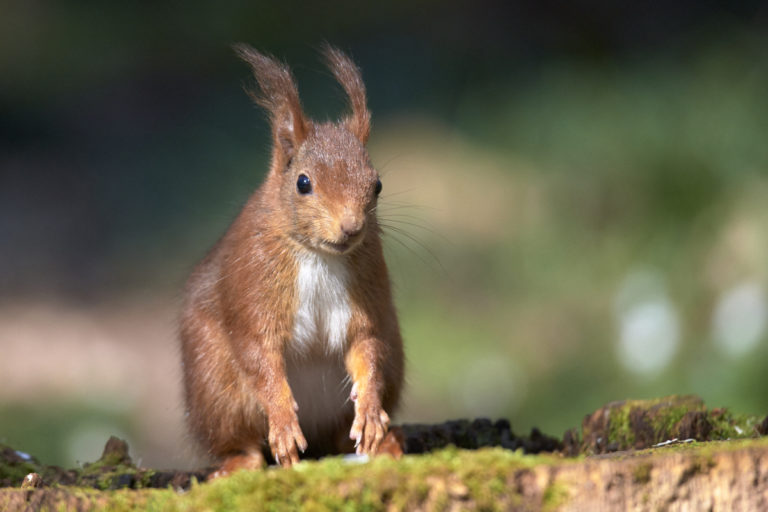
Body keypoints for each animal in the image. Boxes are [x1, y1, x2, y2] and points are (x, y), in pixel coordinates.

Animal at [179, 45, 404, 476]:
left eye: (378, 185)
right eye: (303, 183)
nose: (351, 228)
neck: (318, 256)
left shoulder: (366, 295)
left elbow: (366, 345)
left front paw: (370, 411)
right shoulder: (254, 288)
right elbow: (260, 356)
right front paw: (283, 423)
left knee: (343, 434)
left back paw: (384, 442)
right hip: (216, 388)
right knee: (241, 441)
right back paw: (238, 462)